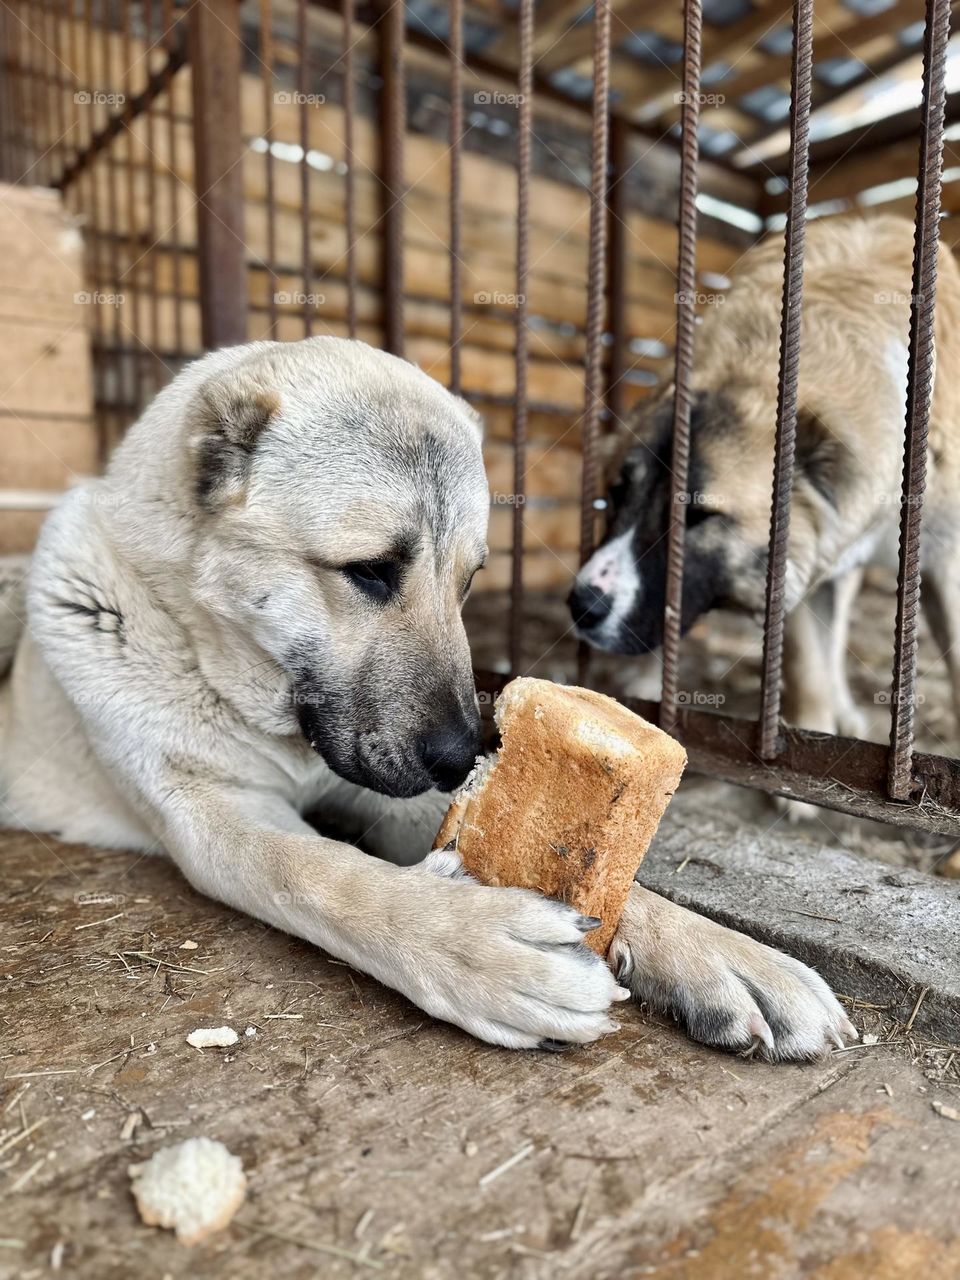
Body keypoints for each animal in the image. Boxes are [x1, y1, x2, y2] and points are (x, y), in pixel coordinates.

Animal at [0, 337, 855, 1059]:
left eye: (470, 579)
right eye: (371, 570)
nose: (461, 755)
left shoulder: (395, 793)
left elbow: (627, 887)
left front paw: (722, 952)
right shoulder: (215, 818)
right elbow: (322, 872)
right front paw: (472, 944)